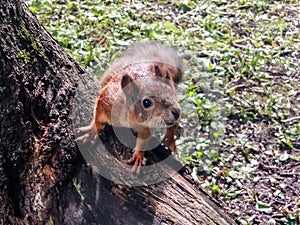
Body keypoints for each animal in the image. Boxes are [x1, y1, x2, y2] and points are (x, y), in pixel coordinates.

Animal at [77, 41, 185, 173]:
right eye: (146, 103)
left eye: (171, 93)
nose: (176, 112)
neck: (131, 119)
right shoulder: (107, 101)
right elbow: (98, 117)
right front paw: (92, 132)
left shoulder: (146, 126)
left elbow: (143, 139)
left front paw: (138, 156)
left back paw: (170, 138)